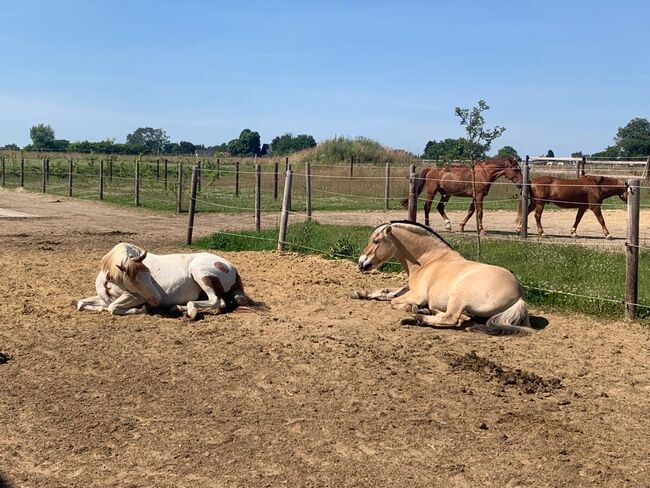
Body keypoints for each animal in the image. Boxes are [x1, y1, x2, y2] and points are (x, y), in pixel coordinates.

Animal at [77, 242, 254, 318]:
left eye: (149, 275)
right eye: (135, 281)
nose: (156, 299)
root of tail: (231, 268)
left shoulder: (136, 297)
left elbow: (112, 308)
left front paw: (141, 310)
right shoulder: (105, 298)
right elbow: (82, 304)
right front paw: (98, 308)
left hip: (199, 272)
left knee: (217, 301)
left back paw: (191, 311)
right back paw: (177, 308)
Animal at [350, 222, 528, 330]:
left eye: (376, 241)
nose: (361, 263)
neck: (428, 260)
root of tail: (519, 295)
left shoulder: (417, 294)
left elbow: (393, 301)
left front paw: (413, 307)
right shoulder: (409, 289)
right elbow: (386, 291)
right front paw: (359, 293)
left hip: (459, 296)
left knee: (453, 319)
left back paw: (417, 317)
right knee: (459, 317)